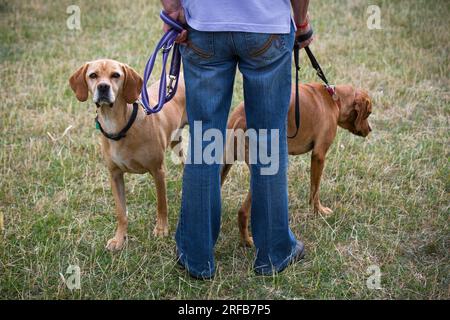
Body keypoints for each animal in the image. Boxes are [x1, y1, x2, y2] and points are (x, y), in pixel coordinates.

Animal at [70, 59, 186, 250]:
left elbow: (161, 204)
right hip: (177, 142)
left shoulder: (158, 171)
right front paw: (119, 239)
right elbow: (121, 212)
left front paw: (161, 229)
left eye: (115, 75)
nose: (103, 87)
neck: (117, 125)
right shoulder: (115, 175)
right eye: (93, 75)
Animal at [221, 82, 372, 245]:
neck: (334, 98)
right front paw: (318, 211)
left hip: (224, 164)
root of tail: (240, 118)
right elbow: (315, 189)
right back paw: (248, 241)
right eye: (368, 113)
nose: (370, 129)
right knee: (243, 211)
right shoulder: (319, 156)